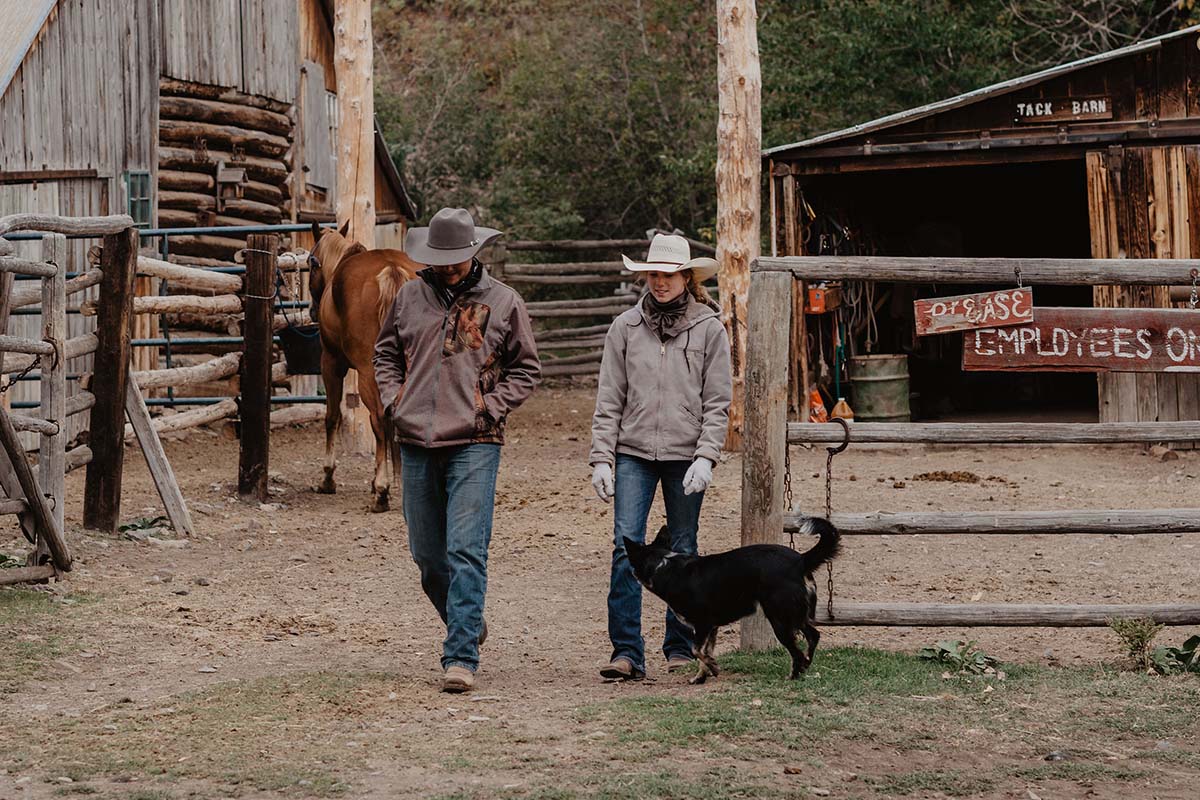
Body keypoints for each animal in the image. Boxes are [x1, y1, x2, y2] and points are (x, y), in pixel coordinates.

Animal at [307, 224, 420, 513]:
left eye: (311, 263)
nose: (312, 310)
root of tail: (392, 268)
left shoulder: (331, 363)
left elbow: (332, 416)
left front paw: (328, 477)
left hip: (370, 373)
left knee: (379, 419)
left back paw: (381, 491)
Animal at [624, 520, 840, 681]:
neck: (664, 566)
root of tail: (800, 560)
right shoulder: (711, 628)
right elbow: (704, 653)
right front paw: (701, 677)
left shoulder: (703, 624)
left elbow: (697, 650)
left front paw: (713, 667)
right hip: (795, 615)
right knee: (813, 636)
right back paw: (806, 665)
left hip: (780, 619)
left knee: (797, 652)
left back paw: (794, 675)